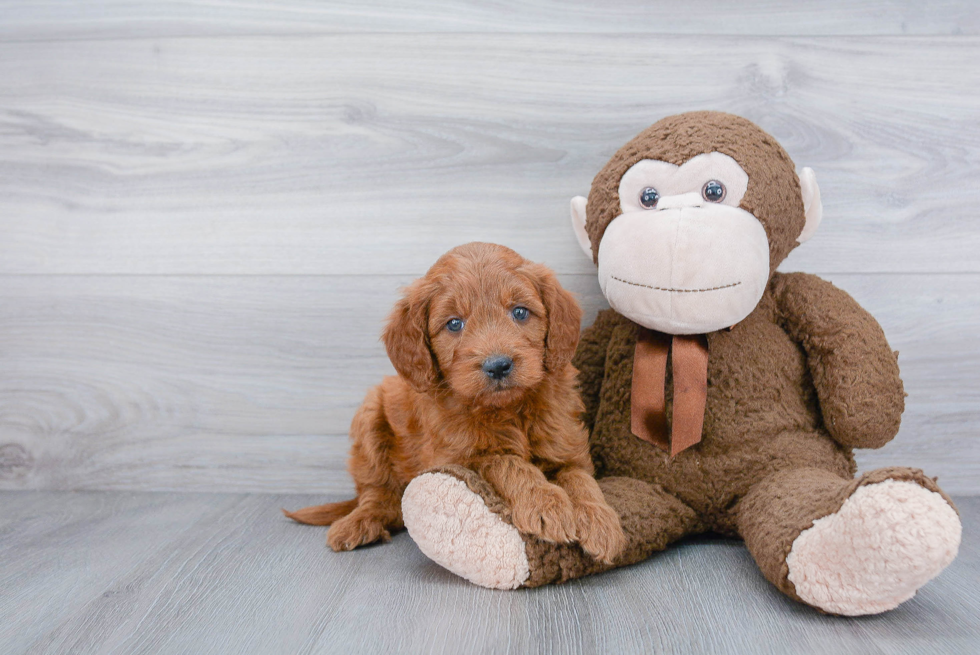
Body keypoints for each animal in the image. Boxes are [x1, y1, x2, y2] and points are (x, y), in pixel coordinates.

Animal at [284, 241, 628, 564]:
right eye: (453, 323)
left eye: (519, 312)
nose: (498, 365)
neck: (509, 410)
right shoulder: (458, 457)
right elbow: (506, 462)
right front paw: (545, 502)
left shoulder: (567, 448)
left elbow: (580, 478)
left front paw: (601, 522)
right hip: (369, 418)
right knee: (379, 495)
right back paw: (359, 523)